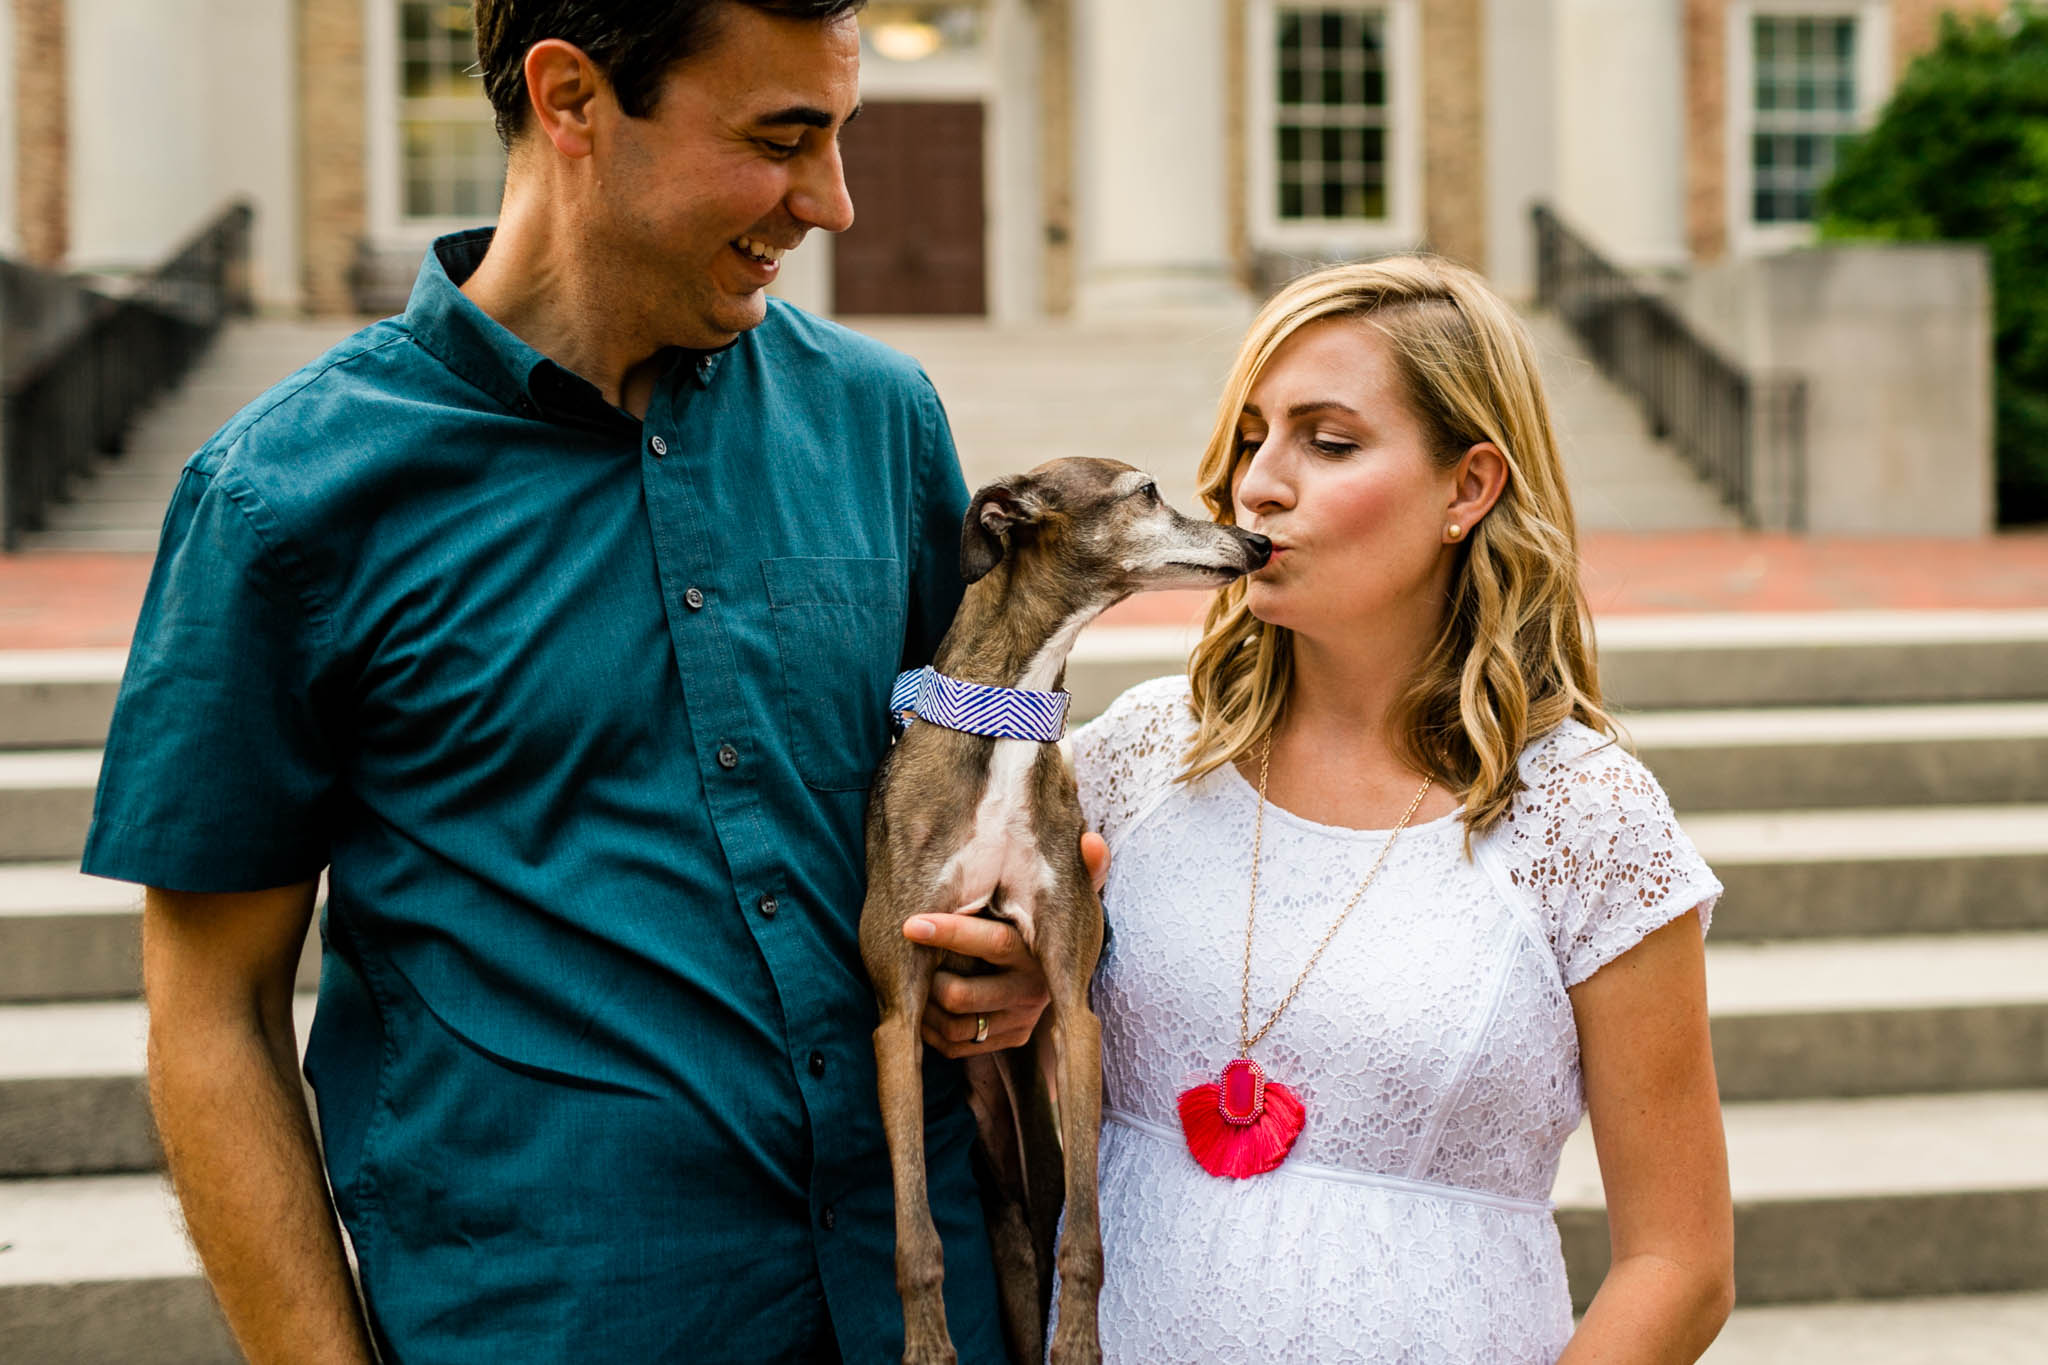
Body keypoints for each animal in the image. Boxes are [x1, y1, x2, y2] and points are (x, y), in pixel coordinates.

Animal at [856, 462, 1269, 1365]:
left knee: (1041, 1228)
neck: (1005, 727)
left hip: (1031, 1144)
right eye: (1146, 492)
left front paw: (1078, 1340)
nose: (1258, 540)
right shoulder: (896, 1018)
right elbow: (915, 1235)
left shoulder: (1075, 1014)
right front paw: (929, 1345)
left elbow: (1084, 1235)